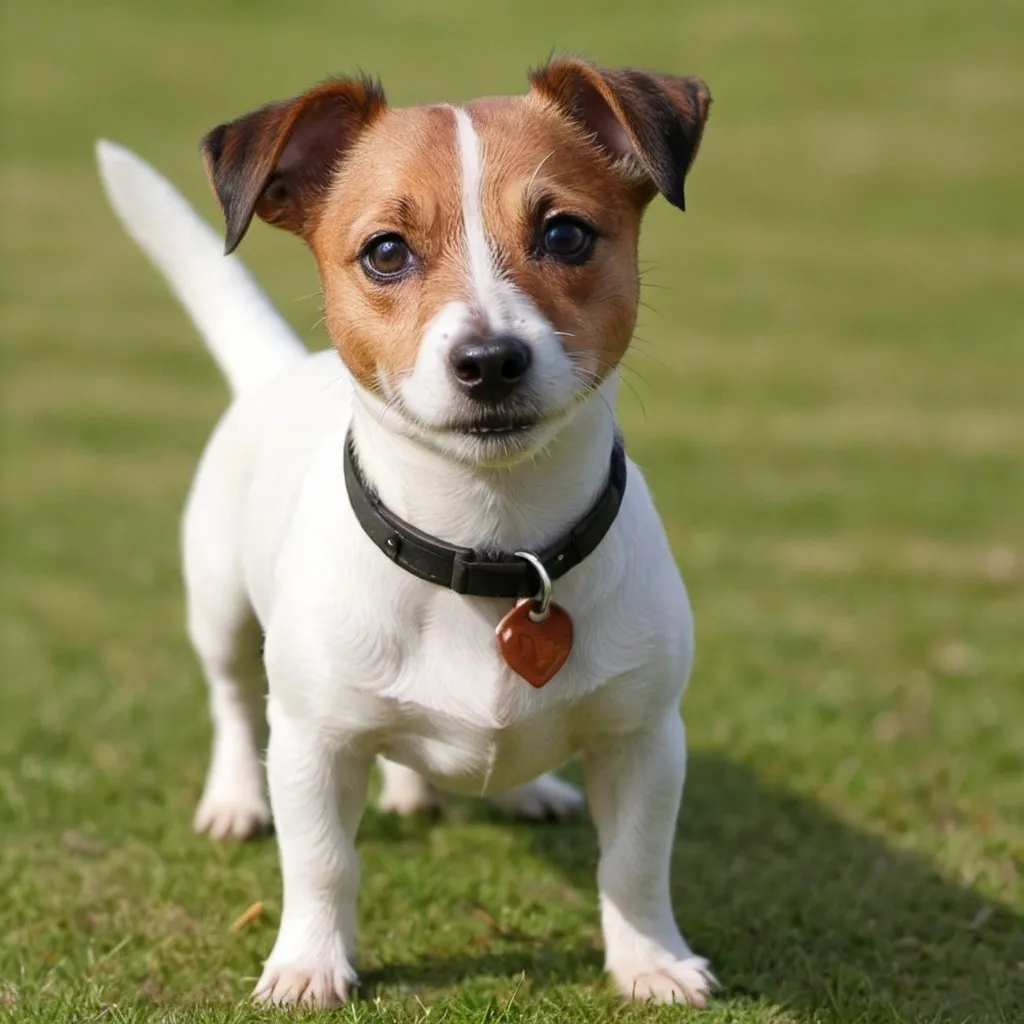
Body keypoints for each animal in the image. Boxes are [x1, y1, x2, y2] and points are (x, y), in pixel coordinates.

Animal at [99, 58, 716, 1007]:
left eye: (566, 234)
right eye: (386, 252)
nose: (490, 361)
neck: (493, 548)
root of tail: (280, 367)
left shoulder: (644, 738)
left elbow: (636, 863)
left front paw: (651, 959)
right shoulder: (312, 743)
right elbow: (322, 862)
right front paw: (310, 962)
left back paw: (513, 790)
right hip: (221, 610)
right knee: (233, 703)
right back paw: (237, 798)